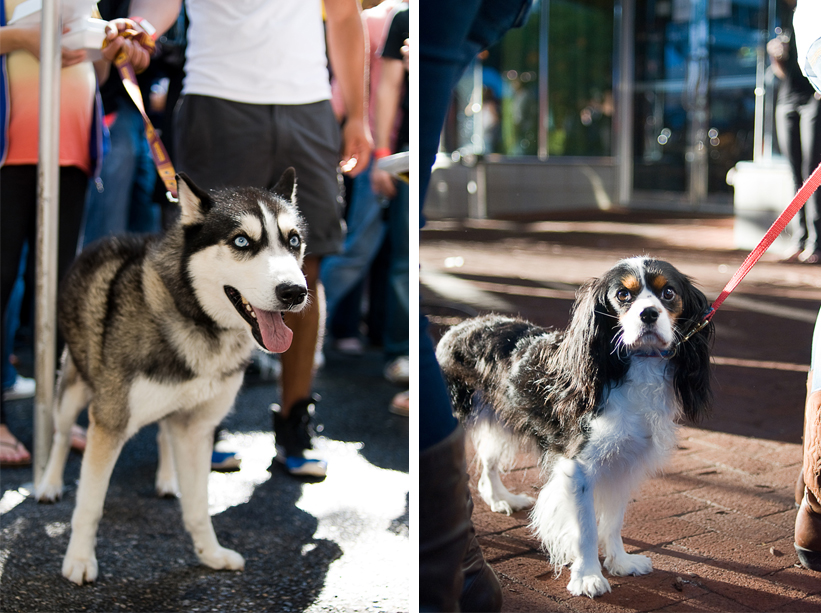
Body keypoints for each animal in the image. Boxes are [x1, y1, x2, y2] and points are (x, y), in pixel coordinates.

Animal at [35, 167, 308, 584]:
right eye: (241, 241)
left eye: (293, 240)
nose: (295, 292)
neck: (199, 321)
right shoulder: (109, 423)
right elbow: (90, 504)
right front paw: (80, 559)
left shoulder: (197, 429)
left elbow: (199, 507)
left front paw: (210, 553)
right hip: (73, 392)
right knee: (63, 435)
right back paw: (49, 484)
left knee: (164, 431)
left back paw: (168, 478)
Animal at [436, 256, 712, 596]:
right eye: (623, 295)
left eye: (669, 293)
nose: (649, 313)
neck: (633, 366)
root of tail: (458, 327)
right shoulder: (579, 467)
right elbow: (587, 528)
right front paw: (588, 577)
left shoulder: (623, 462)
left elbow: (614, 520)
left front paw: (621, 562)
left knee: (488, 462)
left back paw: (501, 498)